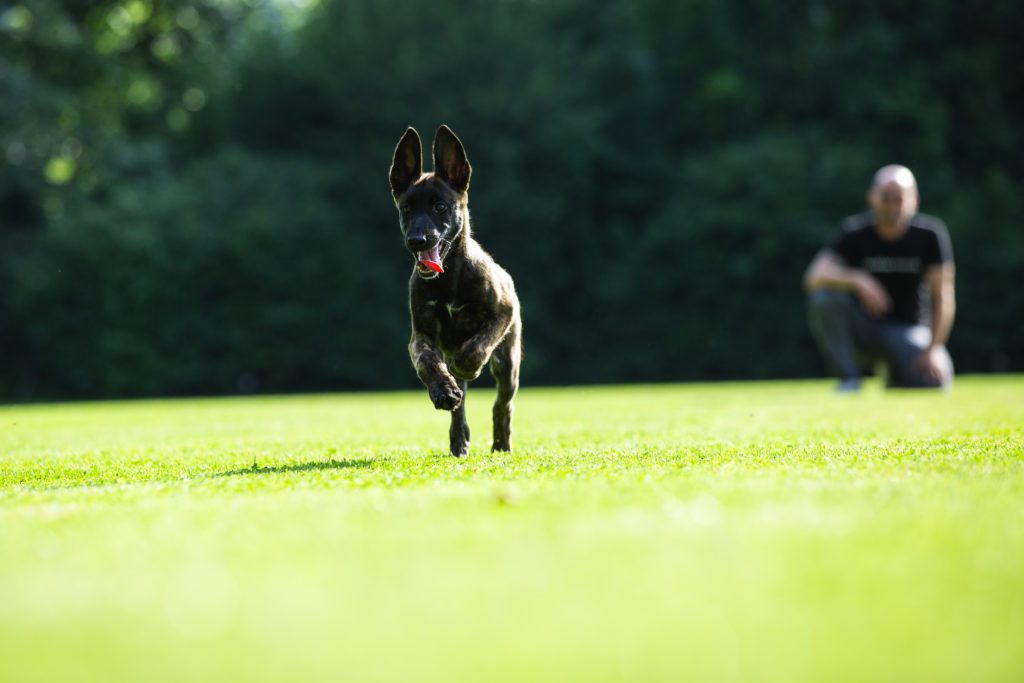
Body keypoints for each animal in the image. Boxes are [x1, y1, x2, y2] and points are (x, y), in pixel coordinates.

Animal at [389, 126, 524, 458]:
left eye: (440, 207)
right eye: (406, 209)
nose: (417, 240)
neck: (449, 279)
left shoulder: (503, 313)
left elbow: (477, 346)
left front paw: (466, 366)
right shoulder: (421, 334)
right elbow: (427, 363)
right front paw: (443, 390)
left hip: (508, 362)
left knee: (503, 405)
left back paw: (501, 444)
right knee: (459, 408)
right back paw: (458, 437)